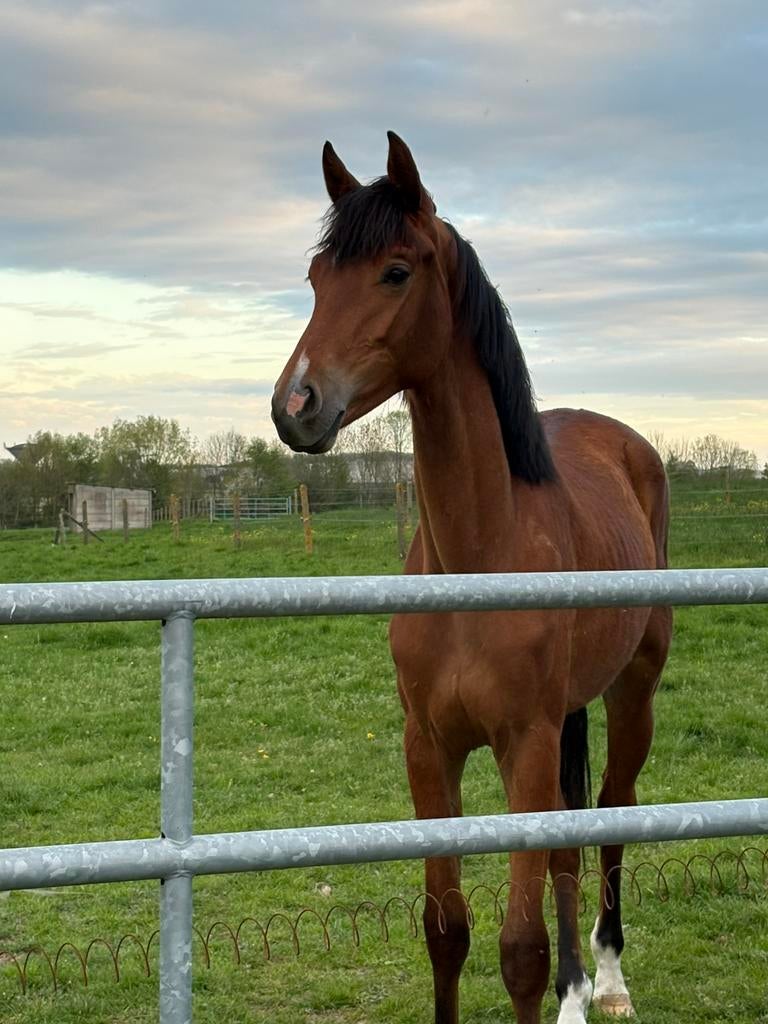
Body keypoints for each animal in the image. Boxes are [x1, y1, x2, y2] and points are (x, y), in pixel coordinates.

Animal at [272, 132, 672, 1024]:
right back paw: (577, 992)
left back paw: (609, 981)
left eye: (395, 271)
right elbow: (446, 931)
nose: (295, 406)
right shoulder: (431, 747)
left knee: (612, 814)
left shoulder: (523, 742)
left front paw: (563, 982)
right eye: (314, 277)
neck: (478, 559)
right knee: (566, 844)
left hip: (631, 691)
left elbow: (518, 948)